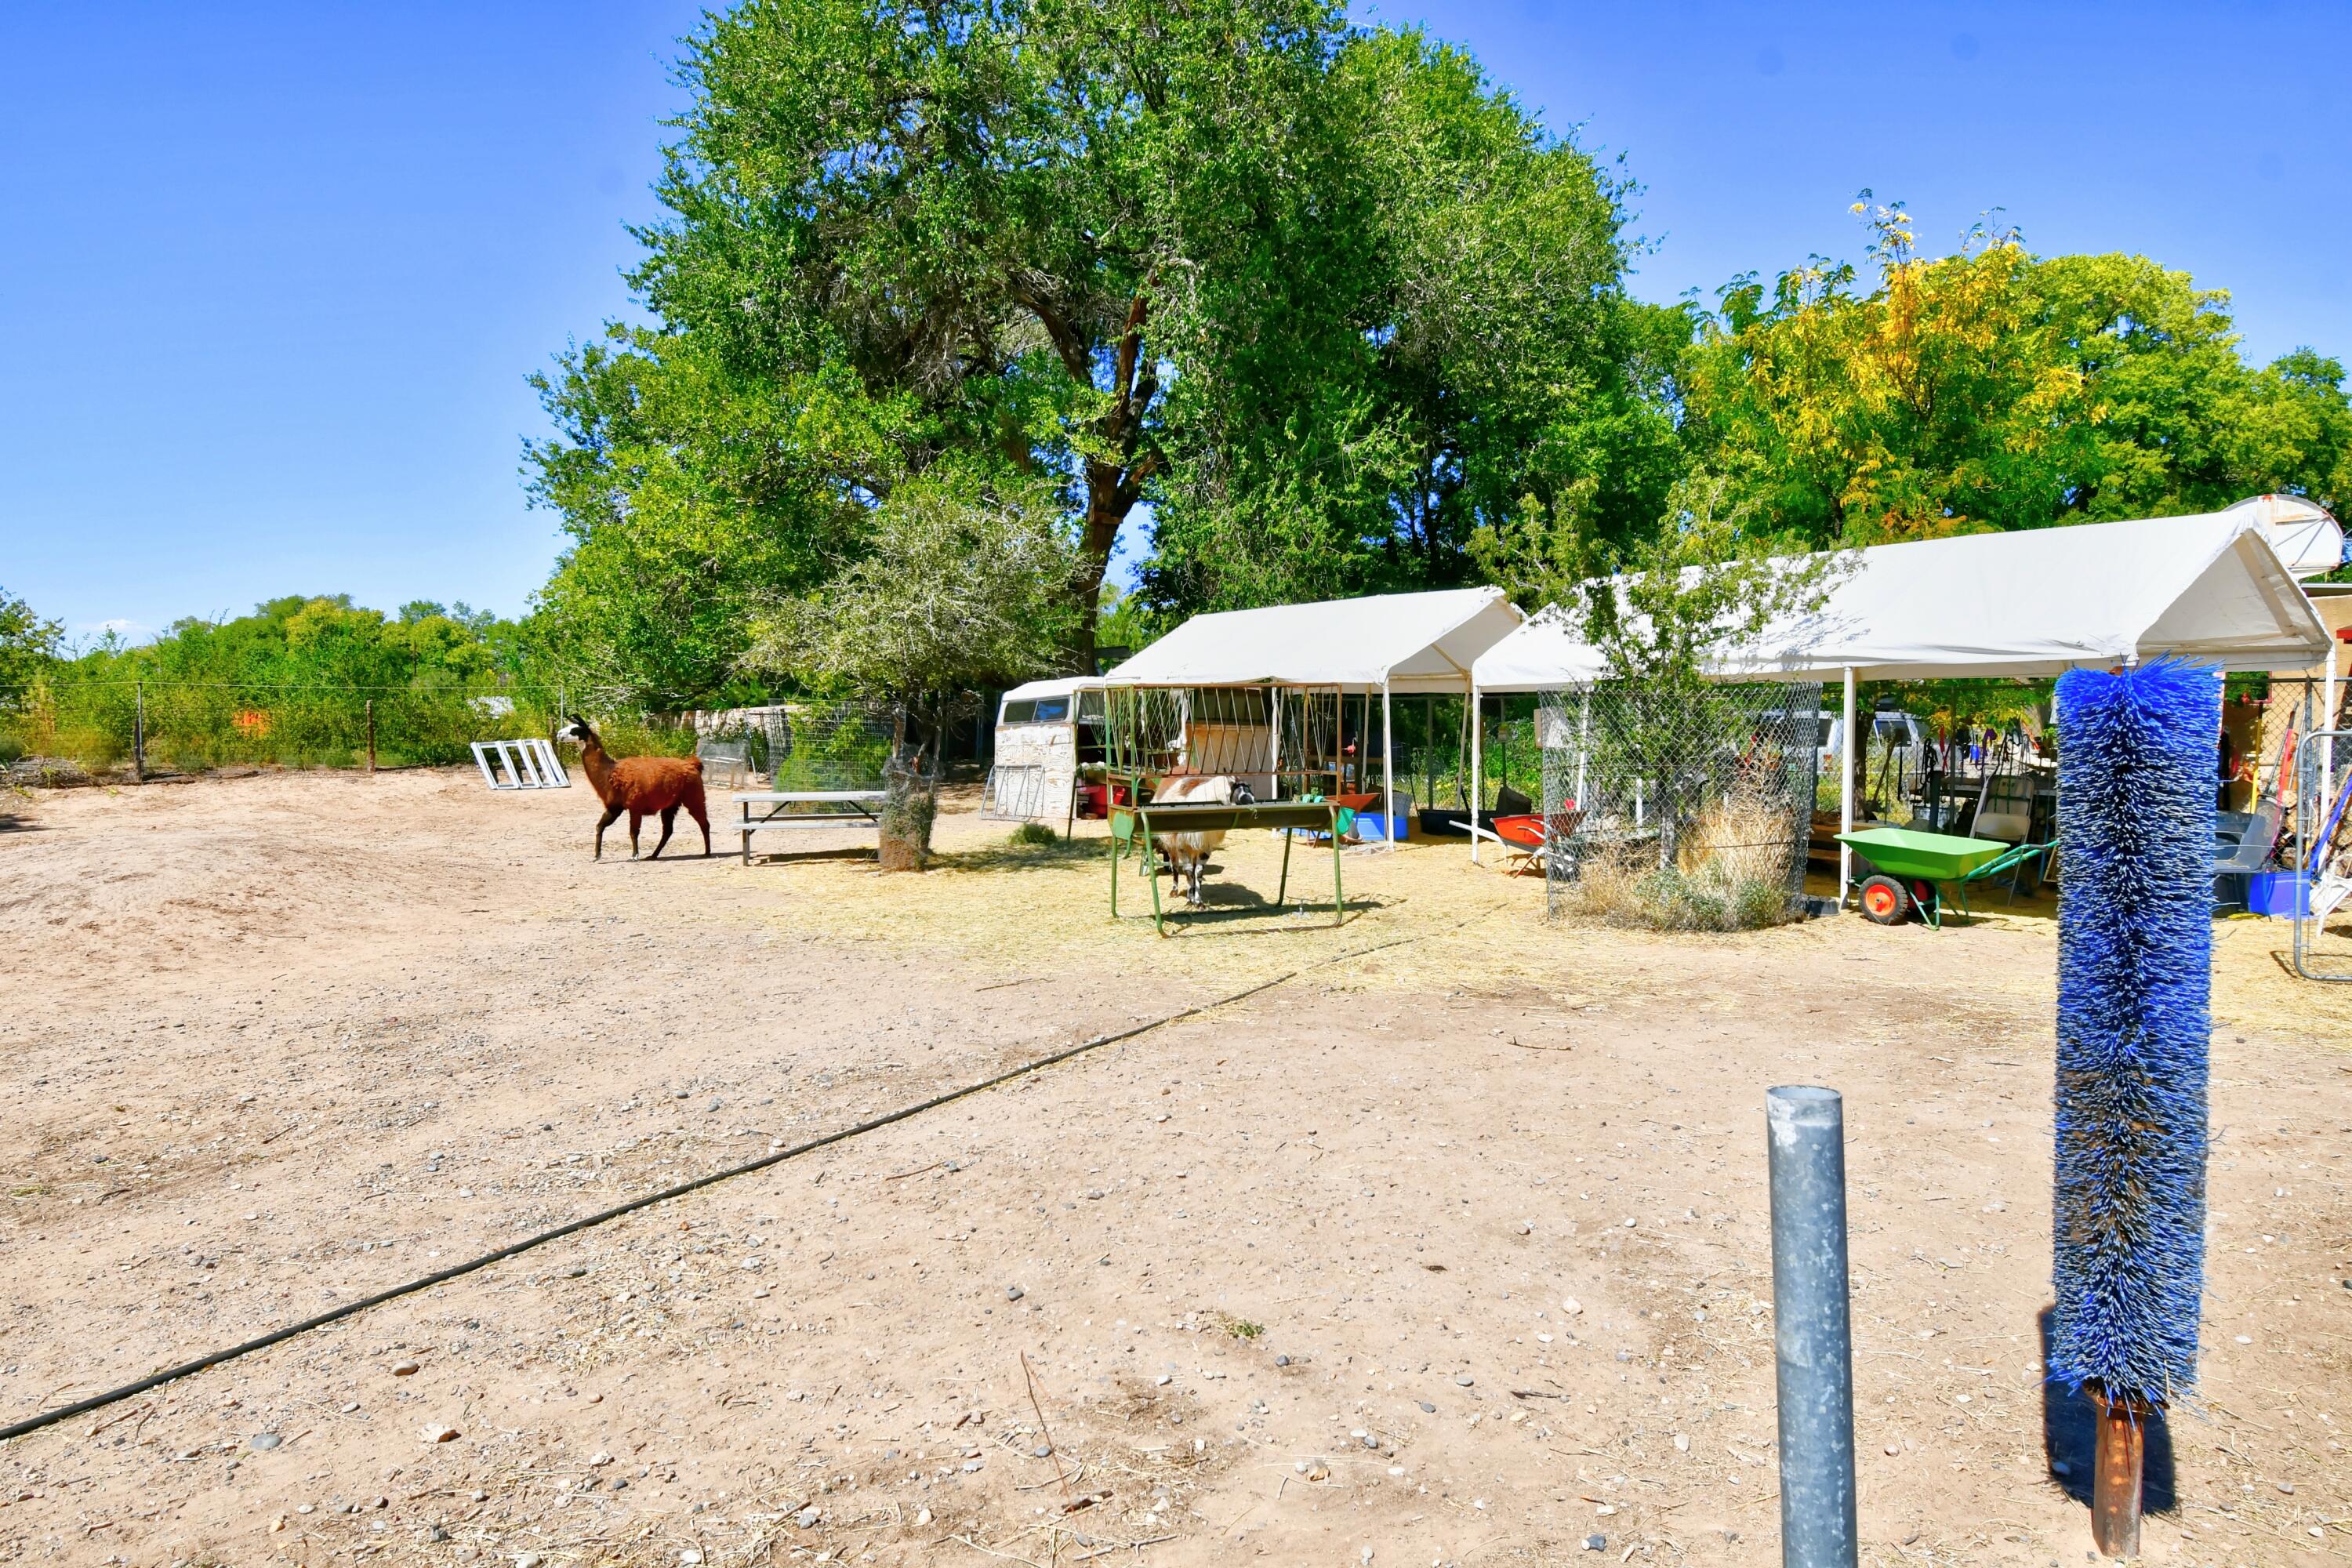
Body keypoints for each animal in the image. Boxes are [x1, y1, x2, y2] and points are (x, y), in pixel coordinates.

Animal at [555, 719, 710, 865]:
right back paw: (653, 855)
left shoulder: (635, 806)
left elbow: (633, 832)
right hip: (670, 804)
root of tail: (692, 764)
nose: (558, 734)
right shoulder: (614, 807)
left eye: (575, 729)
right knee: (668, 831)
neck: (610, 772)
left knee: (704, 823)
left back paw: (707, 853)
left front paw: (634, 856)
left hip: (694, 797)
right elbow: (600, 826)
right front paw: (596, 856)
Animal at [1152, 771, 1261, 907]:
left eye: (1251, 792)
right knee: (1175, 866)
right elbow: (1187, 871)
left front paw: (1198, 902)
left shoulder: (1205, 844)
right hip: (1171, 843)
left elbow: (1198, 872)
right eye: (1242, 796)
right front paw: (1190, 900)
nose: (1253, 804)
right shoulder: (1182, 844)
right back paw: (1174, 891)